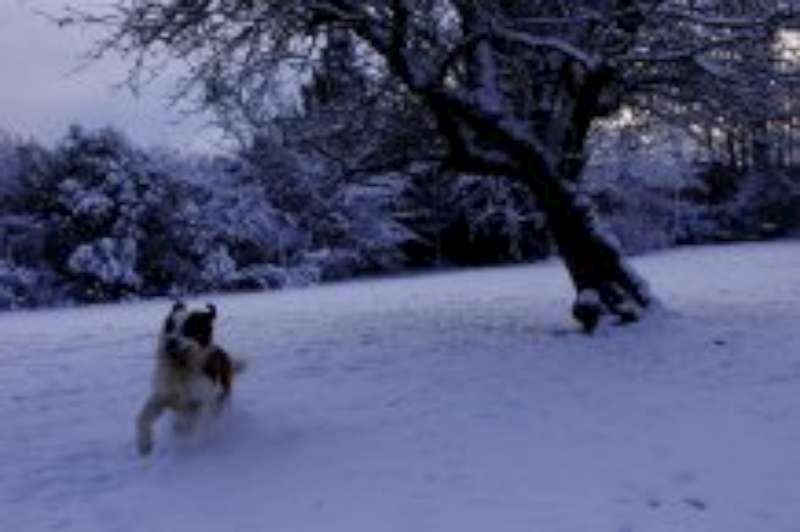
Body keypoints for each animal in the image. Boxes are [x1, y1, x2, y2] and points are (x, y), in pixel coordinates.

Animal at [137, 302, 244, 456]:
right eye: (170, 326)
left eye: (188, 328)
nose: (170, 341)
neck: (182, 369)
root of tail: (225, 354)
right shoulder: (163, 395)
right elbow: (143, 417)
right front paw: (144, 444)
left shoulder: (199, 401)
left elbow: (189, 421)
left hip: (220, 397)